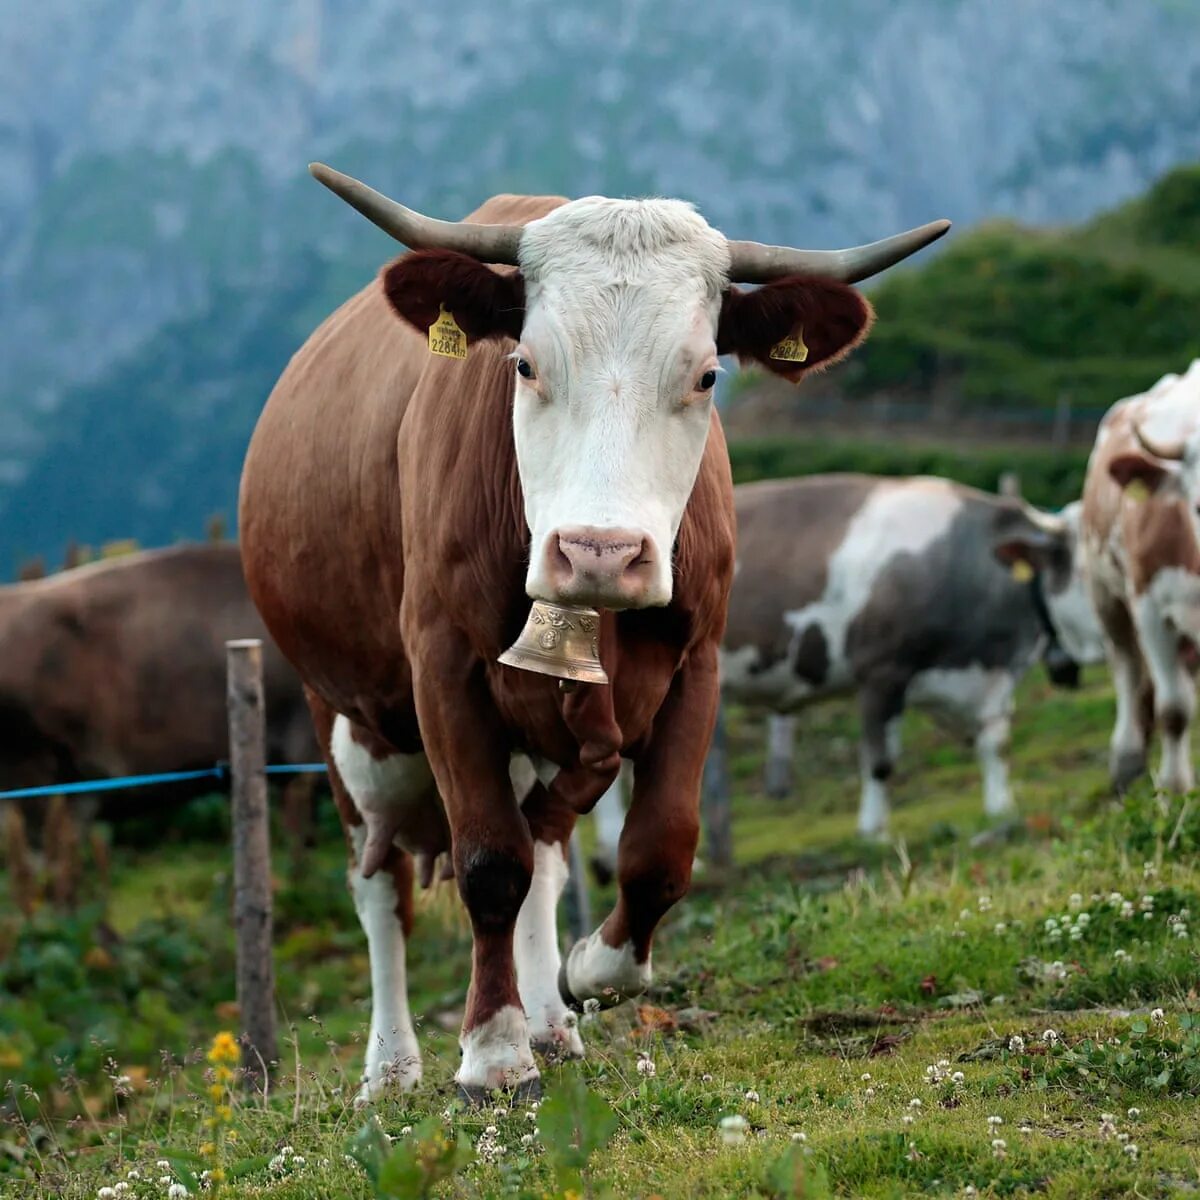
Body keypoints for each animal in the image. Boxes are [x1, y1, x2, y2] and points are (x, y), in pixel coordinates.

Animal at [236, 164, 945, 1099]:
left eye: (706, 375)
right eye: (525, 364)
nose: (598, 554)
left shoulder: (697, 666)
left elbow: (656, 851)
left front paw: (587, 974)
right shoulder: (444, 671)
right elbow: (487, 863)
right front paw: (491, 1050)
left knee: (545, 852)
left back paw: (550, 1021)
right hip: (349, 722)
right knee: (381, 881)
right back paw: (392, 1067)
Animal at [715, 470, 1094, 835]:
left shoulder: (987, 683)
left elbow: (996, 744)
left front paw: (1001, 809)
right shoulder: (881, 672)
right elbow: (880, 761)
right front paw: (873, 832)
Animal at [1080, 364, 1200, 796]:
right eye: (1198, 506)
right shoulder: (1150, 609)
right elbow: (1175, 708)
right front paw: (1175, 788)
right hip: (1106, 596)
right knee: (1128, 670)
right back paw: (1127, 760)